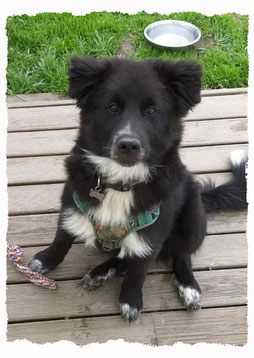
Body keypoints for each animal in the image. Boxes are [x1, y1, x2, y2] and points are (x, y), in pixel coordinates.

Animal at [28, 57, 247, 324]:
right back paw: (101, 272)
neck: (121, 183)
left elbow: (138, 272)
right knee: (123, 257)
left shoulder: (153, 231)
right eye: (112, 107)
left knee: (181, 254)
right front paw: (44, 261)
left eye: (151, 111)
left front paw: (130, 302)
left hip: (193, 218)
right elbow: (62, 238)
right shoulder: (73, 201)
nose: (128, 145)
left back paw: (189, 288)